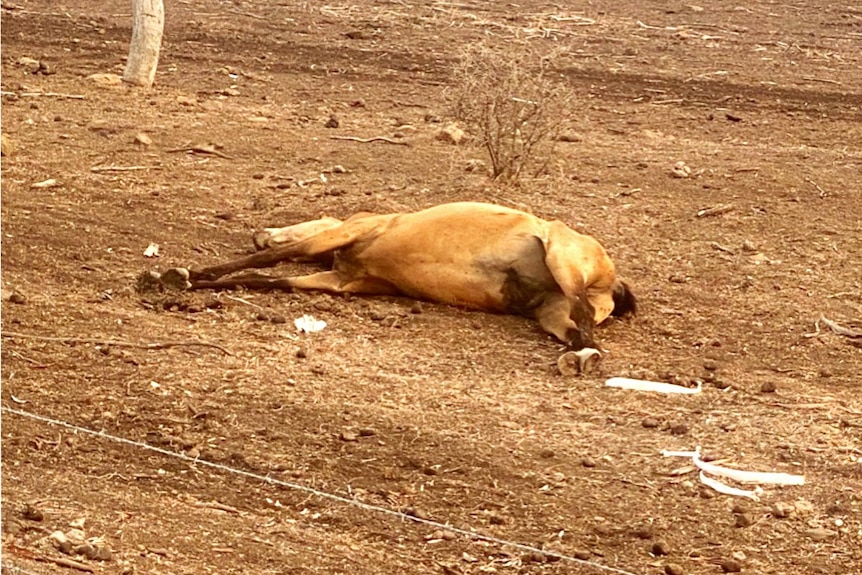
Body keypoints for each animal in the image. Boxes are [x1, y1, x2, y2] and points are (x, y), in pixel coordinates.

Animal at [159, 202, 636, 368]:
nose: (262, 231)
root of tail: (613, 282)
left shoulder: (343, 235)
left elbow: (264, 262)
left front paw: (185, 276)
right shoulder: (341, 282)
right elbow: (267, 277)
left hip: (561, 259)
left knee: (582, 317)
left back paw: (584, 358)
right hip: (549, 312)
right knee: (577, 329)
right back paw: (580, 358)